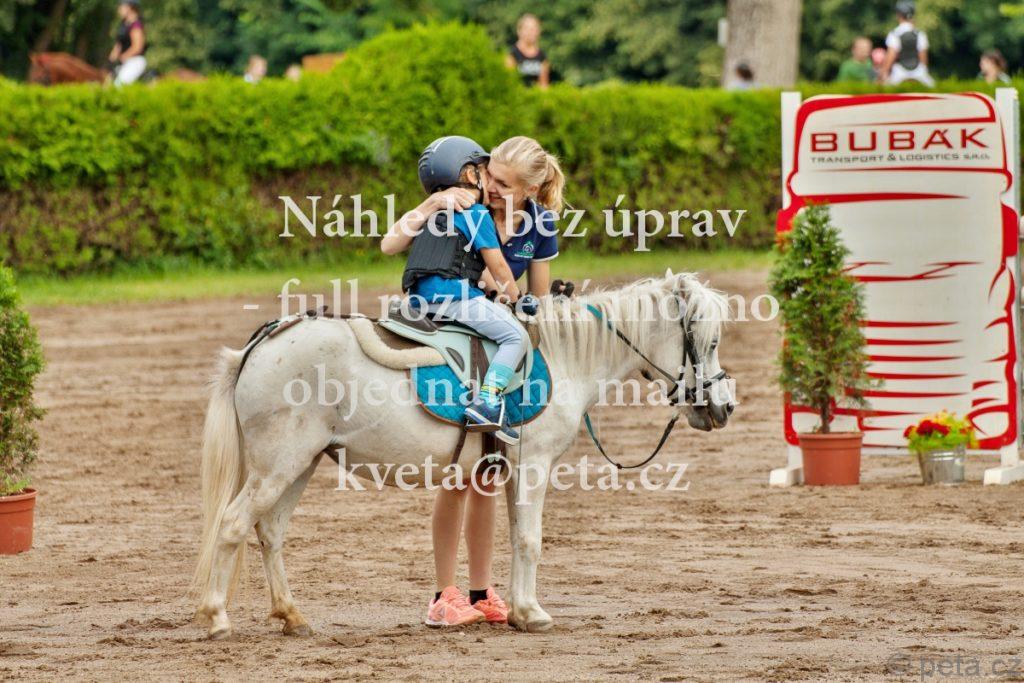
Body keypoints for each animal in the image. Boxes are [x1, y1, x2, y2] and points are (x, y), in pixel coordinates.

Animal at [191, 271, 735, 639]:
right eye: (708, 341)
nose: (725, 406)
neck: (562, 356)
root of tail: (264, 341)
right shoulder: (534, 466)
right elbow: (531, 540)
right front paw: (532, 614)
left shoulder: (510, 472)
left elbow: (515, 537)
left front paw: (516, 609)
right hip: (277, 467)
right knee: (234, 525)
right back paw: (216, 617)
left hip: (298, 466)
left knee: (269, 532)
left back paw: (292, 616)